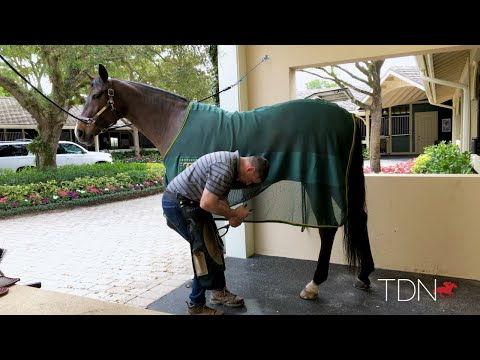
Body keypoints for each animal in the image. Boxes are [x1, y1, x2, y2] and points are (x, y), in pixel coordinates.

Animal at [75, 64, 376, 300]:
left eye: (97, 95)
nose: (80, 132)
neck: (174, 123)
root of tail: (348, 116)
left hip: (321, 181)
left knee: (329, 228)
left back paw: (314, 285)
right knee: (358, 218)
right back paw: (364, 276)